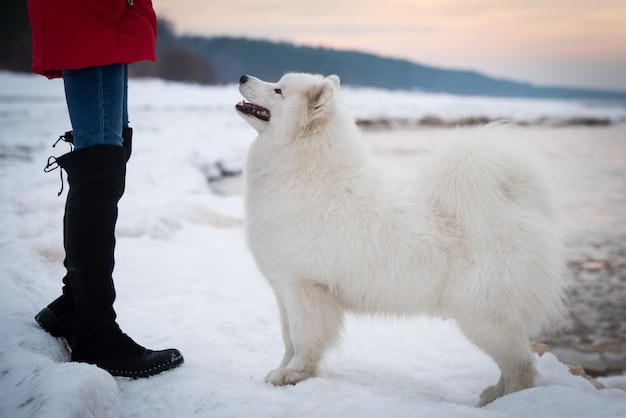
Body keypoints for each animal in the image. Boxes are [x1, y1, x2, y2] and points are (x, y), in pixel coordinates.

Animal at [234, 72, 564, 404]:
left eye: (278, 90)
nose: (243, 76)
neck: (308, 173)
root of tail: (517, 204)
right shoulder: (284, 291)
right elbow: (288, 340)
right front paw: (282, 370)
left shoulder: (305, 287)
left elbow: (303, 341)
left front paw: (293, 375)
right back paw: (492, 395)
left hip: (483, 316)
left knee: (520, 367)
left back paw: (509, 402)